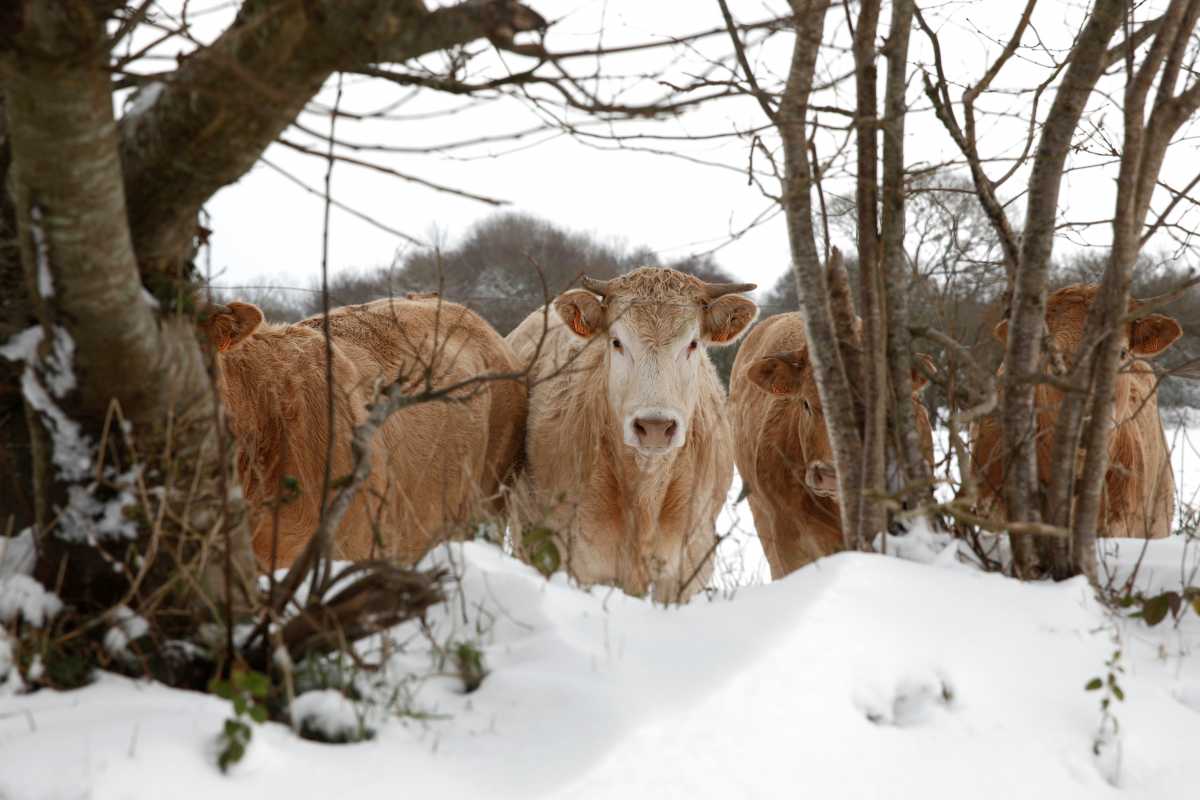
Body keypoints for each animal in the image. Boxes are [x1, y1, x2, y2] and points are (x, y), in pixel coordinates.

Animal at [508, 268, 758, 599]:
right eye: (616, 341)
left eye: (692, 344)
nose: (655, 426)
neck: (644, 496)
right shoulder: (575, 560)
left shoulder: (690, 563)